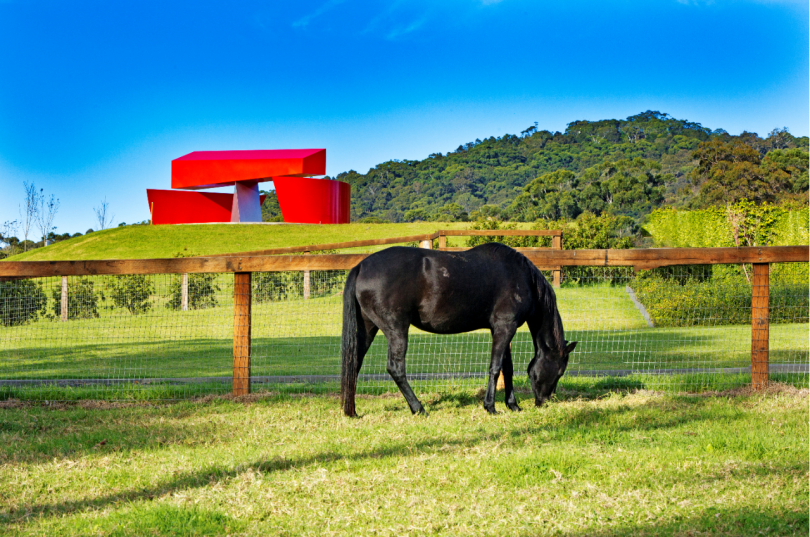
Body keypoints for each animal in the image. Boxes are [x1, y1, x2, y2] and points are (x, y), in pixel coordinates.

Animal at [340, 241, 576, 416]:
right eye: (559, 371)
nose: (544, 402)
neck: (521, 276)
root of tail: (361, 267)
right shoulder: (505, 327)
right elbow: (495, 367)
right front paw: (491, 407)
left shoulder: (501, 329)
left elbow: (506, 369)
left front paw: (513, 405)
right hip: (396, 330)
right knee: (395, 368)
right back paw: (419, 409)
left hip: (368, 328)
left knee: (354, 363)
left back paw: (352, 412)